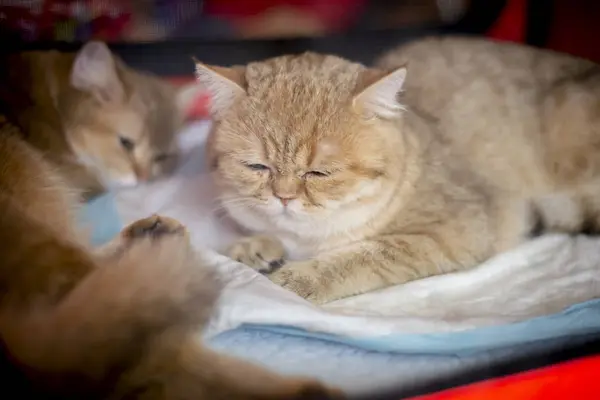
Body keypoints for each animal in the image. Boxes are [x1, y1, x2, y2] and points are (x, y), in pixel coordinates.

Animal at [200, 39, 600, 304]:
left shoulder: (457, 227)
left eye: (320, 173)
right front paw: (256, 246)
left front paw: (299, 277)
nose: (283, 197)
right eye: (257, 166)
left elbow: (367, 255)